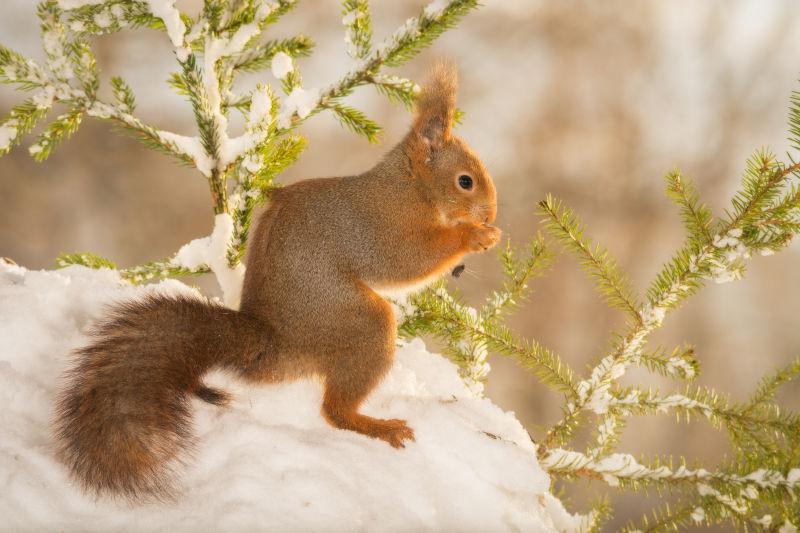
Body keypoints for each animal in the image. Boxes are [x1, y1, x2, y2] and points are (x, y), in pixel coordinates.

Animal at [53, 62, 500, 498]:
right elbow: (406, 261)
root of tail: (277, 342)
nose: (491, 214)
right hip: (360, 323)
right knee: (333, 411)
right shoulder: (378, 228)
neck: (409, 187)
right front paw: (474, 237)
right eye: (465, 181)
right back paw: (378, 426)